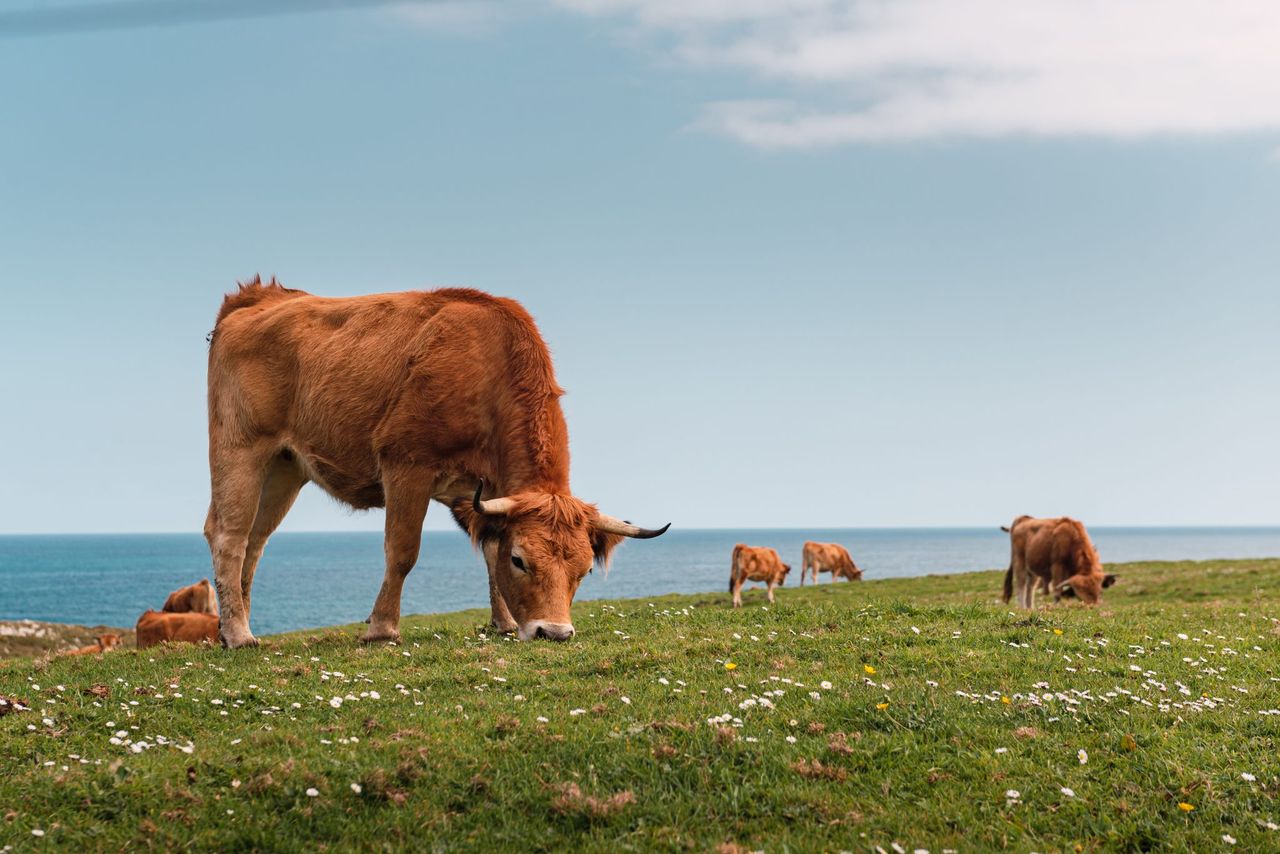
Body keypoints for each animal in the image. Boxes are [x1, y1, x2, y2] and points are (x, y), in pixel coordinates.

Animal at [205, 278, 668, 648]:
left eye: (584, 570)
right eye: (521, 561)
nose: (552, 632)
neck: (486, 368)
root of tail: (259, 296)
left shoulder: (490, 491)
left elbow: (489, 548)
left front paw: (503, 622)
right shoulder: (407, 465)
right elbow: (402, 551)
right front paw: (382, 629)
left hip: (285, 467)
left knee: (255, 540)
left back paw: (234, 628)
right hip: (239, 449)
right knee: (229, 535)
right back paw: (240, 635)